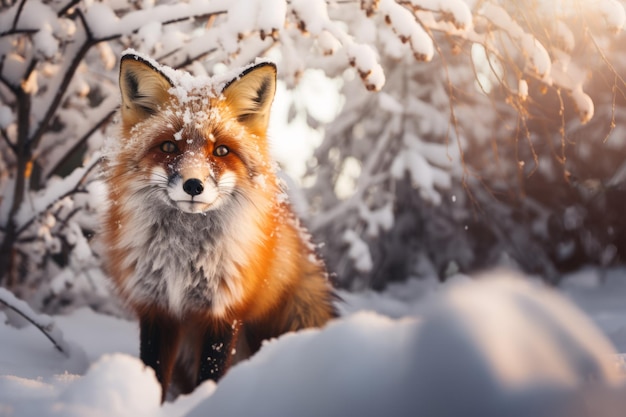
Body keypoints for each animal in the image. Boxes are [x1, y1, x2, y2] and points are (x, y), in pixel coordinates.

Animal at [102, 52, 336, 400]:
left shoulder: (224, 311)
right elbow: (154, 373)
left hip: (299, 312)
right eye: (169, 147)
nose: (193, 185)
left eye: (221, 150)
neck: (183, 259)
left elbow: (210, 376)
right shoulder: (157, 307)